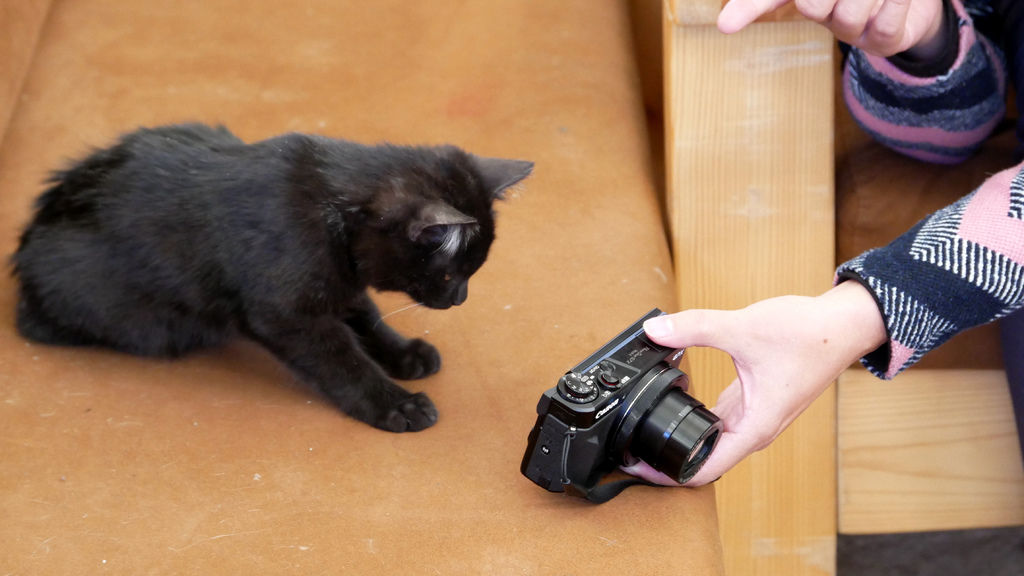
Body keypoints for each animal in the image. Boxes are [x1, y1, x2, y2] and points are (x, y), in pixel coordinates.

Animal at [12, 124, 532, 430]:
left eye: (470, 273)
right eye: (449, 276)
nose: (459, 299)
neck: (333, 209)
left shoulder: (339, 280)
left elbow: (366, 315)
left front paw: (404, 353)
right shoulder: (285, 312)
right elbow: (341, 358)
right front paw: (394, 403)